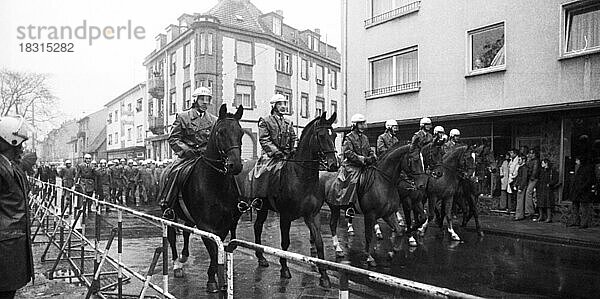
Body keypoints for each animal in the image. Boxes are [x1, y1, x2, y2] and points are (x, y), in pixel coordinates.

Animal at [159, 104, 246, 294]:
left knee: (185, 232)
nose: (235, 165)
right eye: (220, 132)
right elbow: (213, 251)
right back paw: (177, 264)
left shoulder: (224, 226)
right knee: (172, 237)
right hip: (170, 215)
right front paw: (212, 281)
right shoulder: (206, 225)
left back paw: (184, 256)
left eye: (241, 132)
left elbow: (216, 252)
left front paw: (216, 278)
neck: (215, 183)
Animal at [237, 112, 340, 288]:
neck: (301, 177)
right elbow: (285, 243)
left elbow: (319, 243)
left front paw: (324, 276)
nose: (334, 164)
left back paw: (261, 257)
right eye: (321, 135)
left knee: (257, 227)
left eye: (334, 135)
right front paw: (284, 269)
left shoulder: (312, 215)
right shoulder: (285, 216)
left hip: (263, 208)